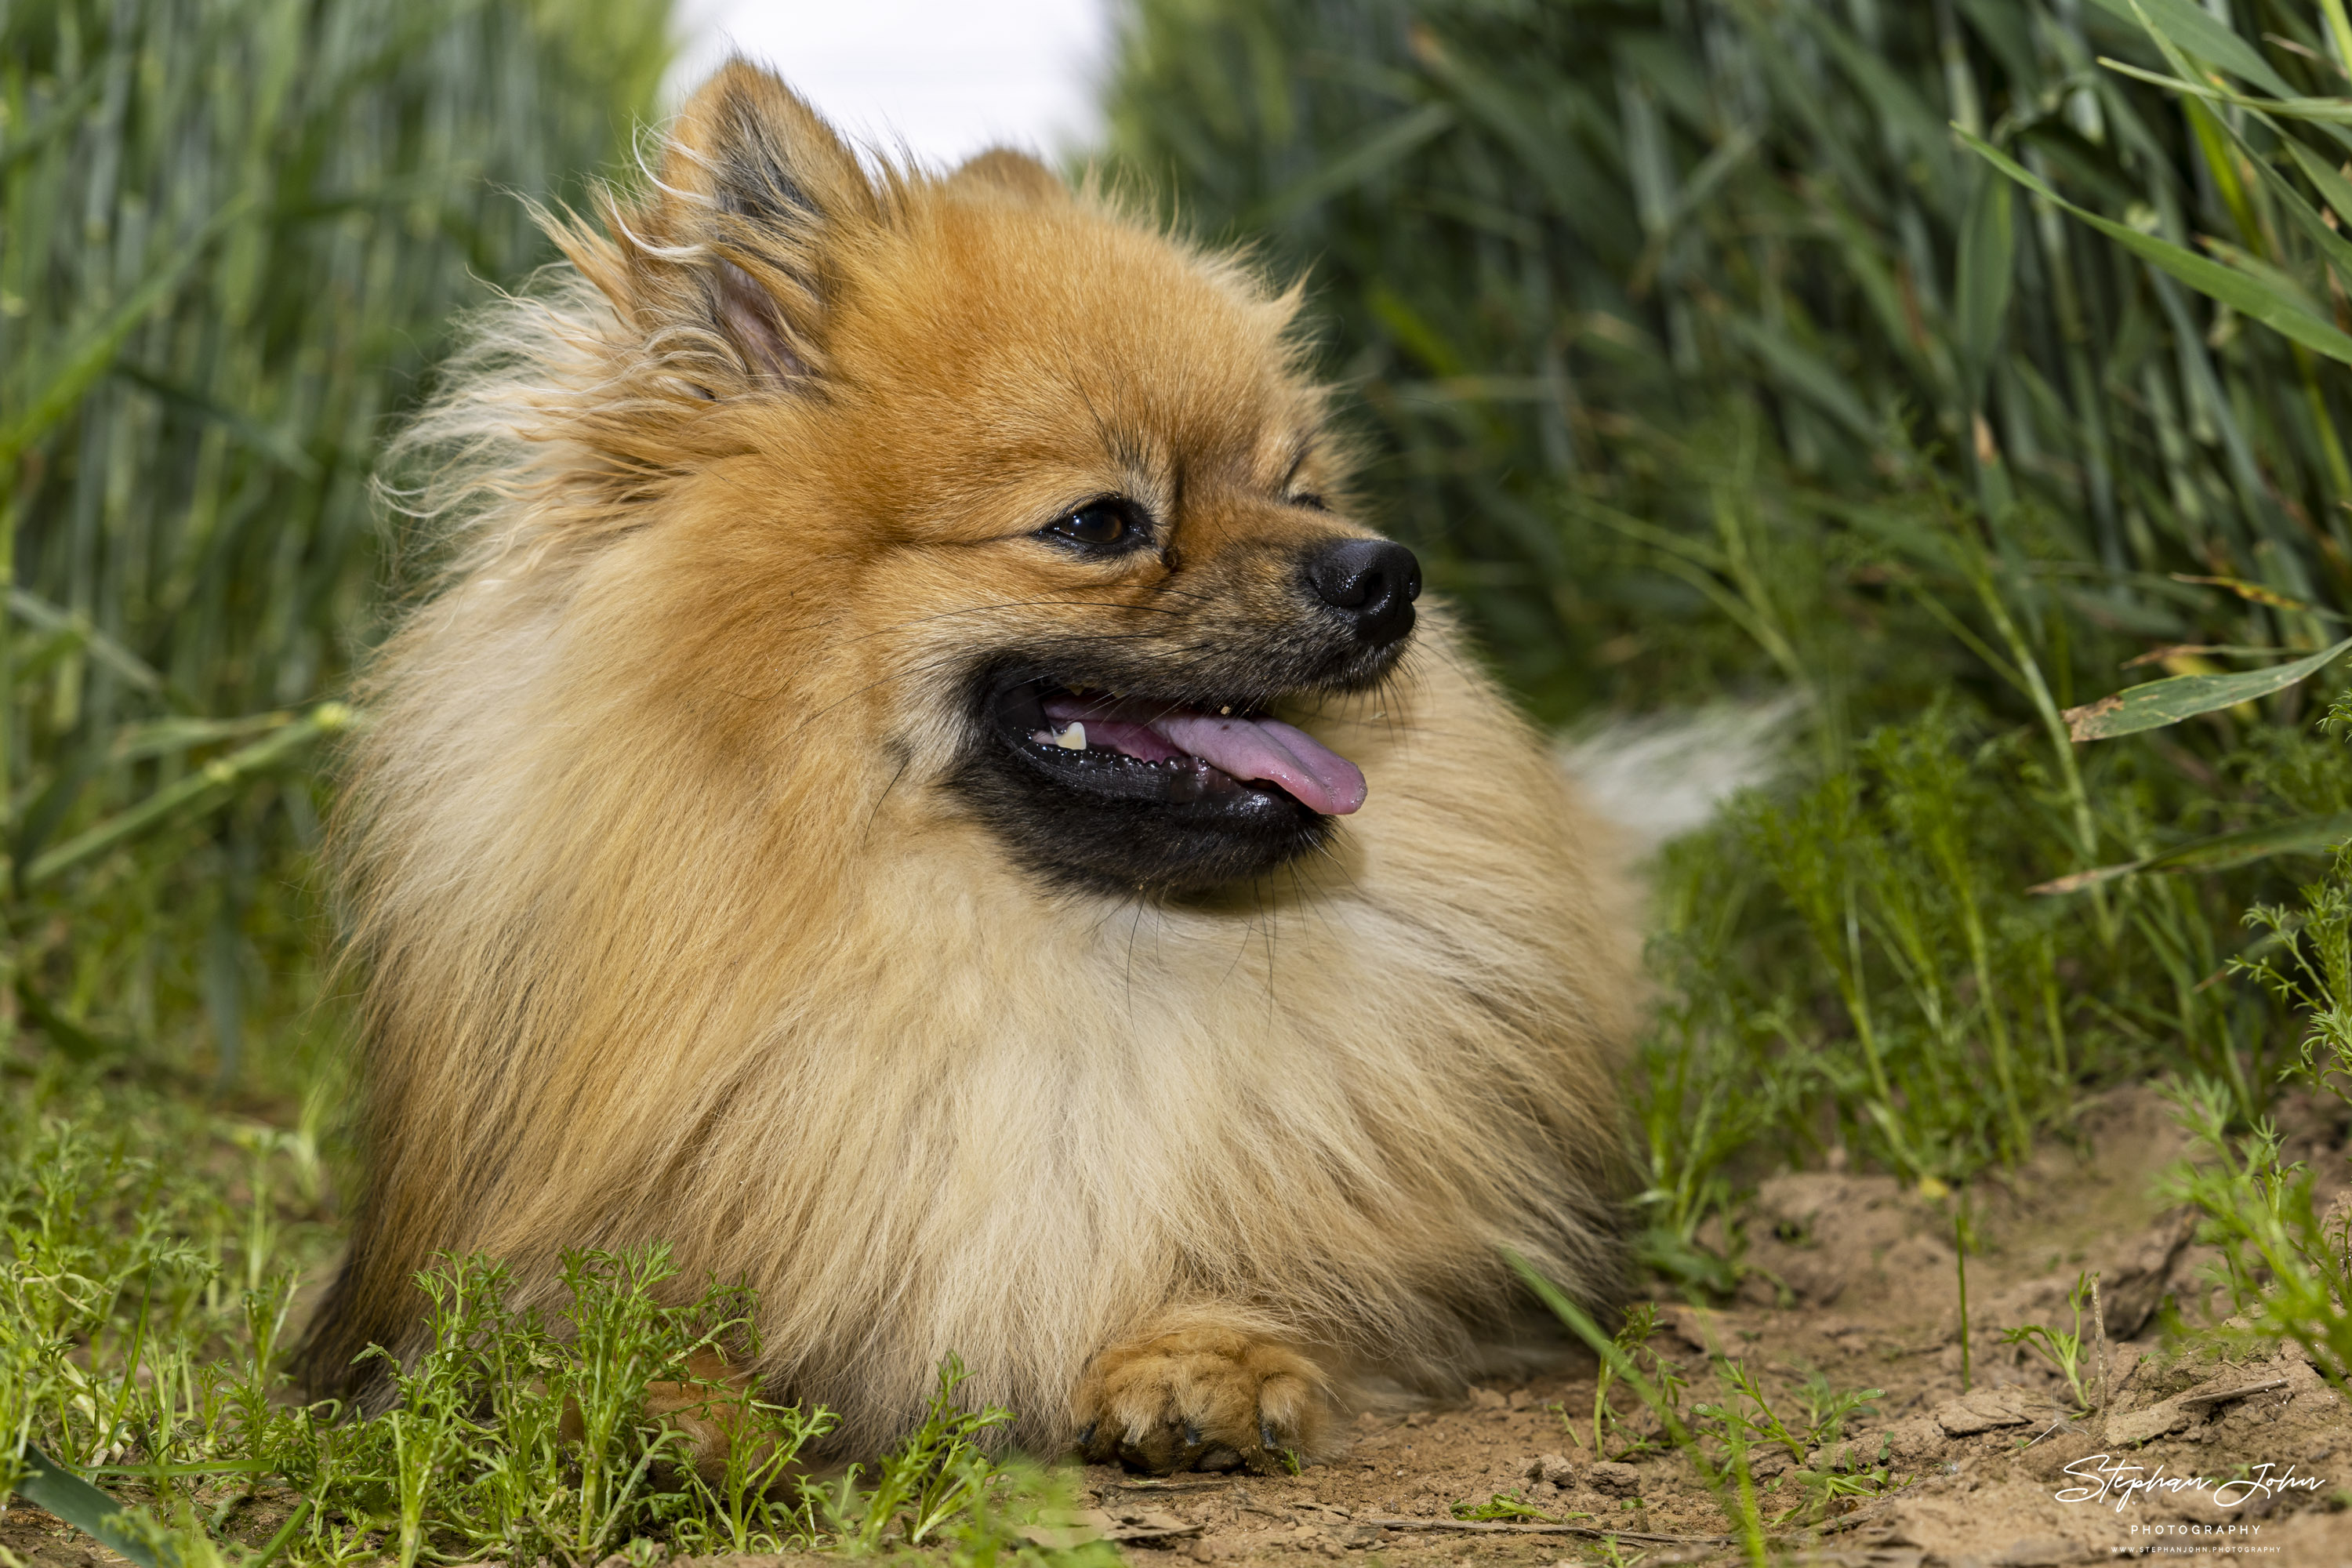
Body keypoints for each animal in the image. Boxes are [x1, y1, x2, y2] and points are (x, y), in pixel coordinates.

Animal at [303, 61, 1637, 1476]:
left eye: (1301, 489)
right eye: (1100, 524)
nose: (1385, 573)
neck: (1021, 949)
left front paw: (1207, 1354)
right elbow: (586, 1319)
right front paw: (660, 1404)